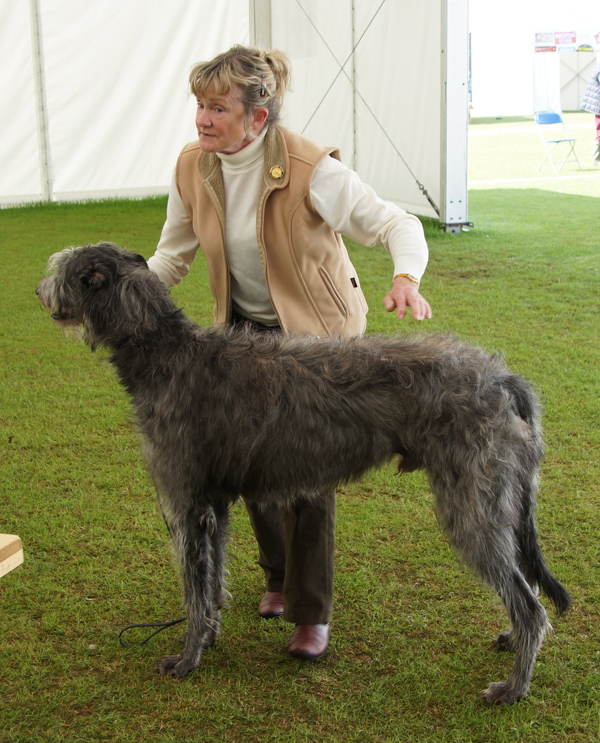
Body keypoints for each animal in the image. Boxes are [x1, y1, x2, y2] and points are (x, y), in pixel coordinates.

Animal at [37, 243, 572, 704]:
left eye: (61, 270)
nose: (39, 292)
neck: (165, 353)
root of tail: (503, 378)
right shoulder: (214, 505)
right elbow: (211, 583)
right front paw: (208, 638)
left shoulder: (186, 504)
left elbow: (193, 591)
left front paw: (187, 659)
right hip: (501, 500)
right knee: (524, 583)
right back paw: (512, 641)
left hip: (472, 506)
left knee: (532, 606)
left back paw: (513, 686)